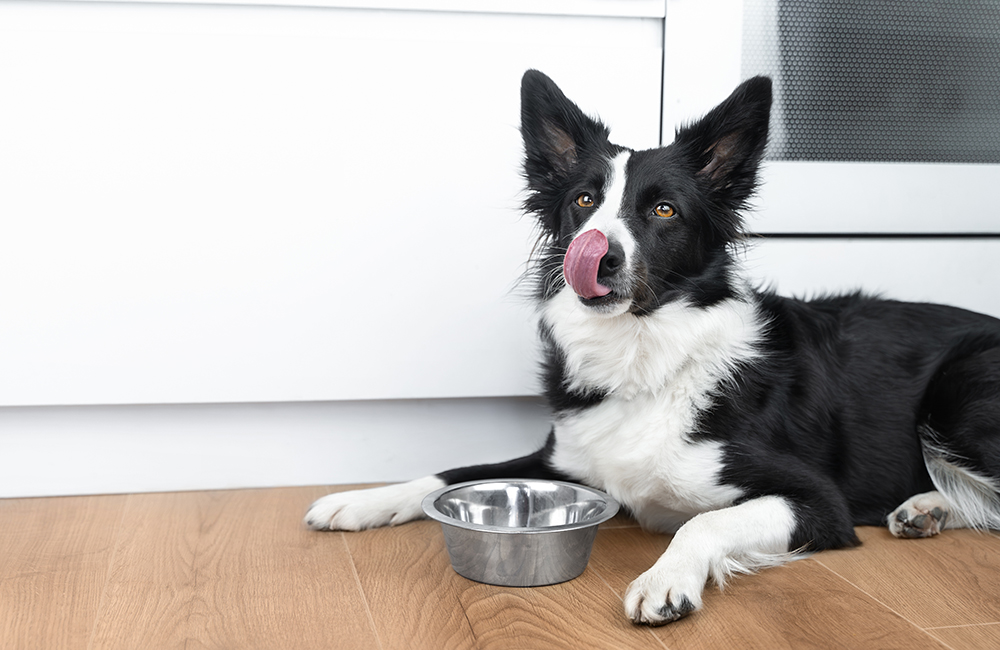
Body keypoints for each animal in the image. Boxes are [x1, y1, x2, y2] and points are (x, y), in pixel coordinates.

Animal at [306, 69, 1000, 624]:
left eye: (664, 210)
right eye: (584, 200)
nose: (600, 256)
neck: (645, 355)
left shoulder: (816, 501)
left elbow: (703, 518)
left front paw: (666, 578)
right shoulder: (564, 458)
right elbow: (449, 473)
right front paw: (359, 500)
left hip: (960, 394)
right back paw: (926, 508)